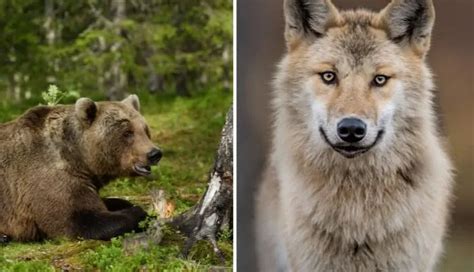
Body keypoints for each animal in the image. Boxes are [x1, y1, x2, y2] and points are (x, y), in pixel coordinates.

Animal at [0, 95, 161, 242]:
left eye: (145, 130)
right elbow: (79, 219)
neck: (80, 159)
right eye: (127, 132)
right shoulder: (47, 176)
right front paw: (140, 213)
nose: (154, 153)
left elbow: (104, 202)